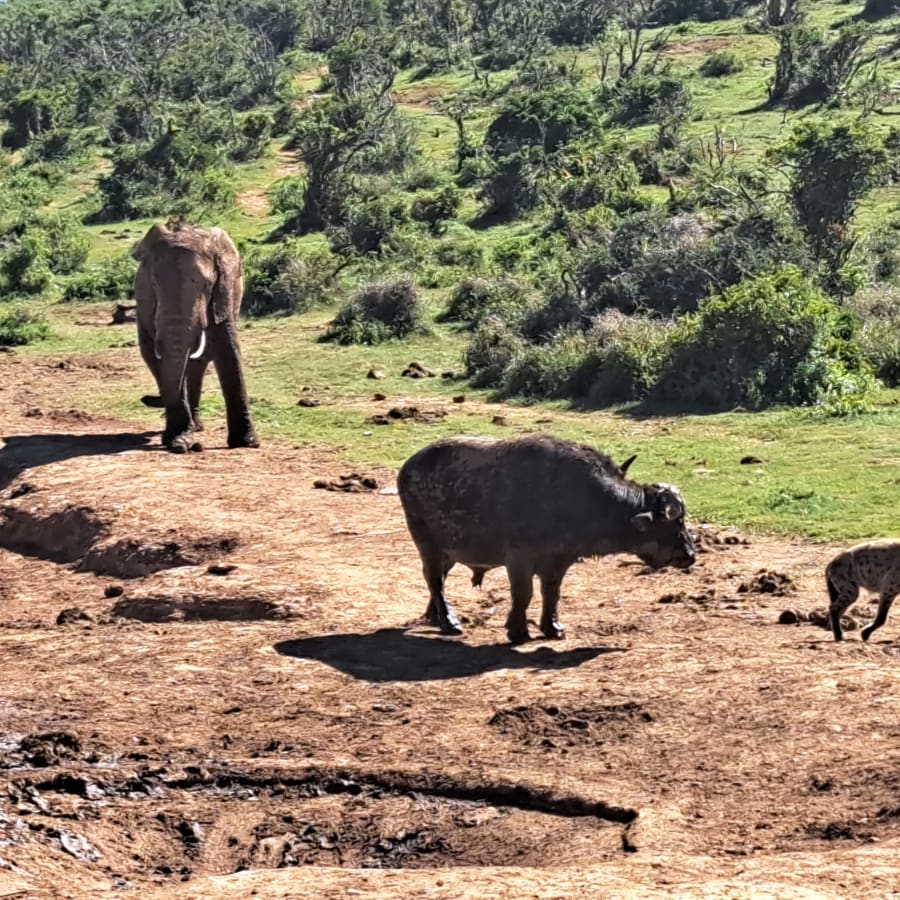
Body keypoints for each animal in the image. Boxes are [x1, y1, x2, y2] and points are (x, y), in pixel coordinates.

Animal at [134, 221, 260, 454]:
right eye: (154, 285)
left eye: (207, 285)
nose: (147, 399)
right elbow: (154, 356)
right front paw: (179, 441)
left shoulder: (223, 292)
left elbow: (228, 348)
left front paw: (246, 443)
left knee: (198, 363)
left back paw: (196, 426)